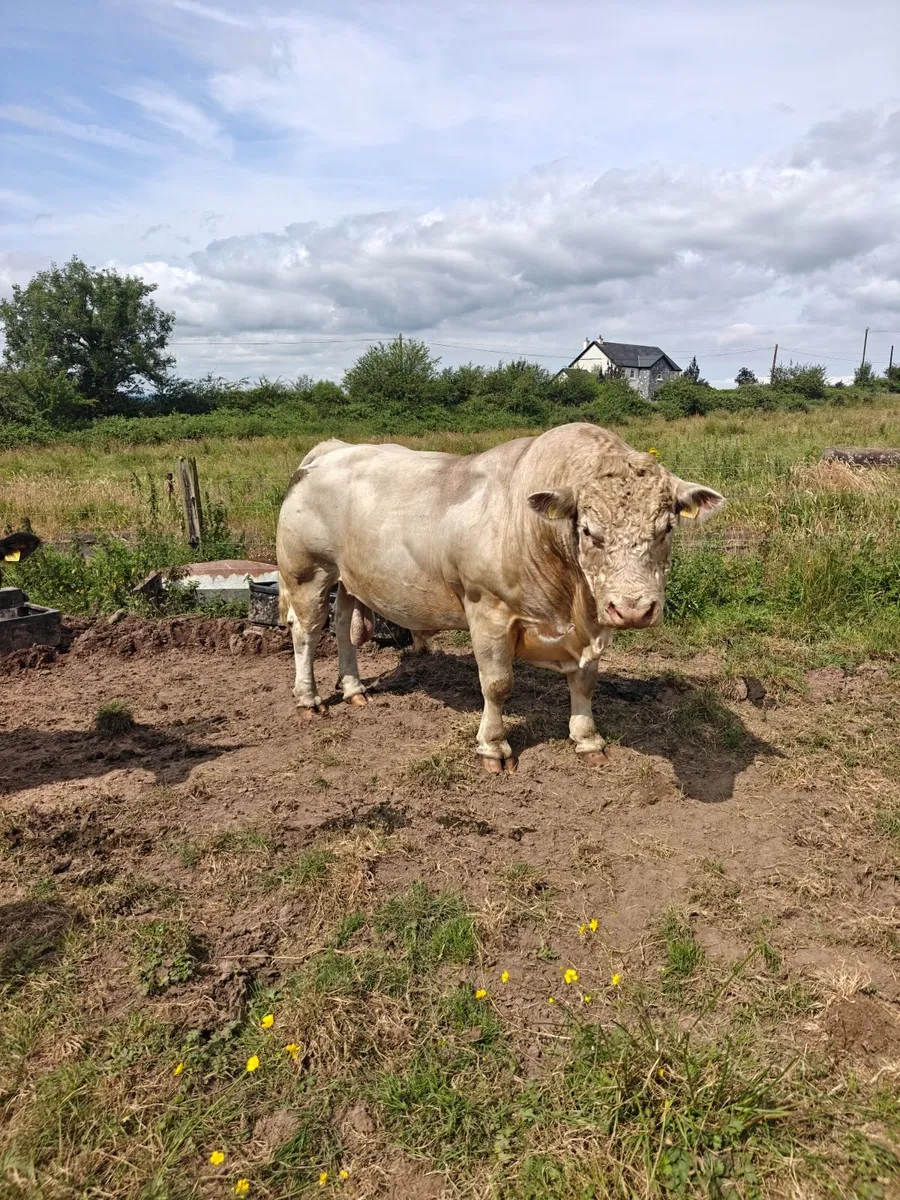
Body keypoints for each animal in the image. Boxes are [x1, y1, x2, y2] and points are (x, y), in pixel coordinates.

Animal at [276, 424, 724, 773]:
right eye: (588, 531)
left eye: (667, 528)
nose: (633, 609)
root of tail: (331, 450)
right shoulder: (488, 610)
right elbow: (496, 684)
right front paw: (493, 746)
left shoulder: (592, 622)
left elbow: (585, 680)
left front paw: (587, 739)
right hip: (308, 572)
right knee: (307, 632)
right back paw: (308, 698)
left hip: (349, 578)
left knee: (343, 628)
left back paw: (354, 689)